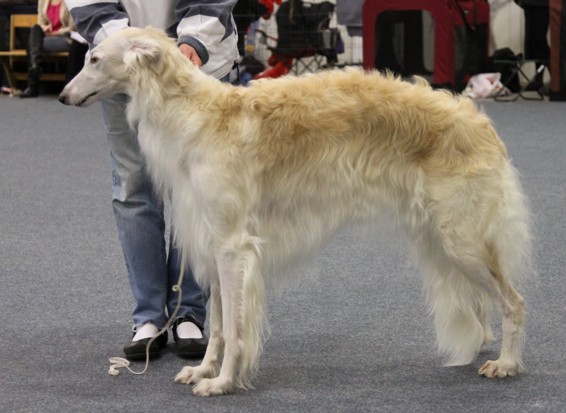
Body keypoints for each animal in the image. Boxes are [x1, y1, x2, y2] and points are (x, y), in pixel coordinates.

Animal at [60, 27, 536, 394]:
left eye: (95, 59)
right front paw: (202, 370)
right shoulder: (212, 244)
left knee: (514, 302)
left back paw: (506, 364)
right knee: (482, 305)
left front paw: (222, 382)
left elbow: (235, 330)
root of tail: (479, 122)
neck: (199, 116)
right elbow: (218, 327)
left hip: (460, 239)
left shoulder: (233, 247)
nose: (63, 95)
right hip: (442, 238)